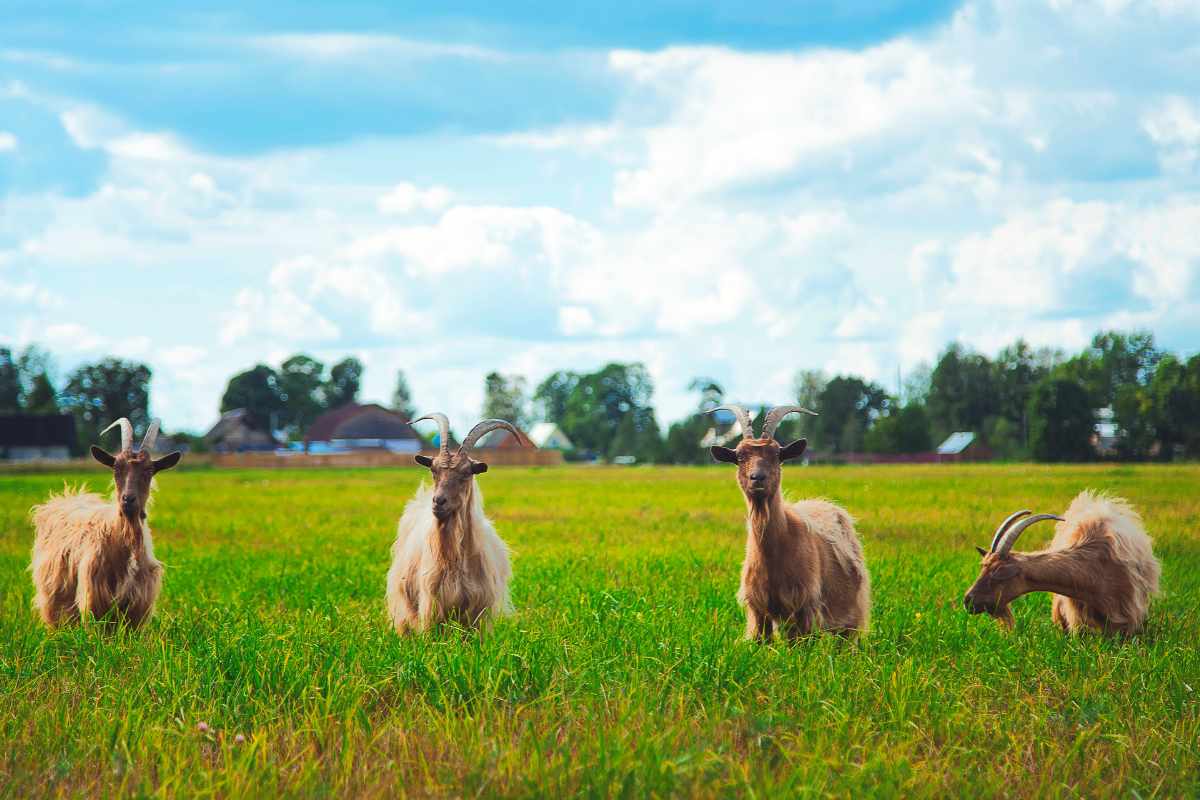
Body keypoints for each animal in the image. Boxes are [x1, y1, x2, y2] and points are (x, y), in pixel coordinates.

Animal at [29, 419, 180, 633]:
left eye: (149, 470)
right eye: (116, 469)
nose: (128, 500)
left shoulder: (137, 606)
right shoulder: (95, 598)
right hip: (52, 597)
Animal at [710, 402, 873, 642]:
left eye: (777, 454)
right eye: (739, 456)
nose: (757, 478)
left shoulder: (805, 606)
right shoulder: (758, 609)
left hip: (850, 616)